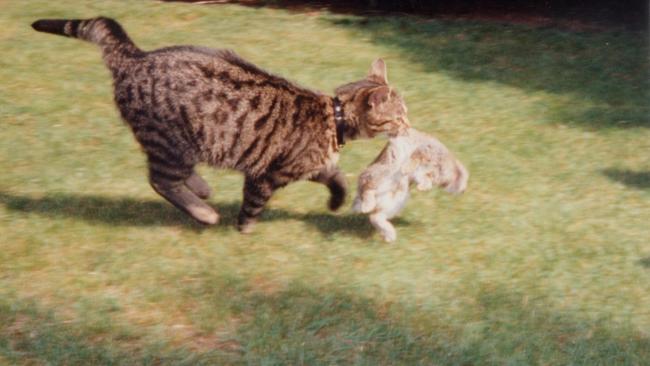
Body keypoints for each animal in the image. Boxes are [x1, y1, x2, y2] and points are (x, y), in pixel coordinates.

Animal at [33, 16, 408, 232]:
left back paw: (201, 189)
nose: (408, 126)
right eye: (401, 114)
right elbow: (253, 206)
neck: (335, 117)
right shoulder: (266, 174)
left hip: (176, 145)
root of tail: (135, 56)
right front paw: (243, 230)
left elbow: (338, 179)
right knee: (160, 180)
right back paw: (203, 212)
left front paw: (334, 203)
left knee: (171, 176)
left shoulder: (310, 167)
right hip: (171, 142)